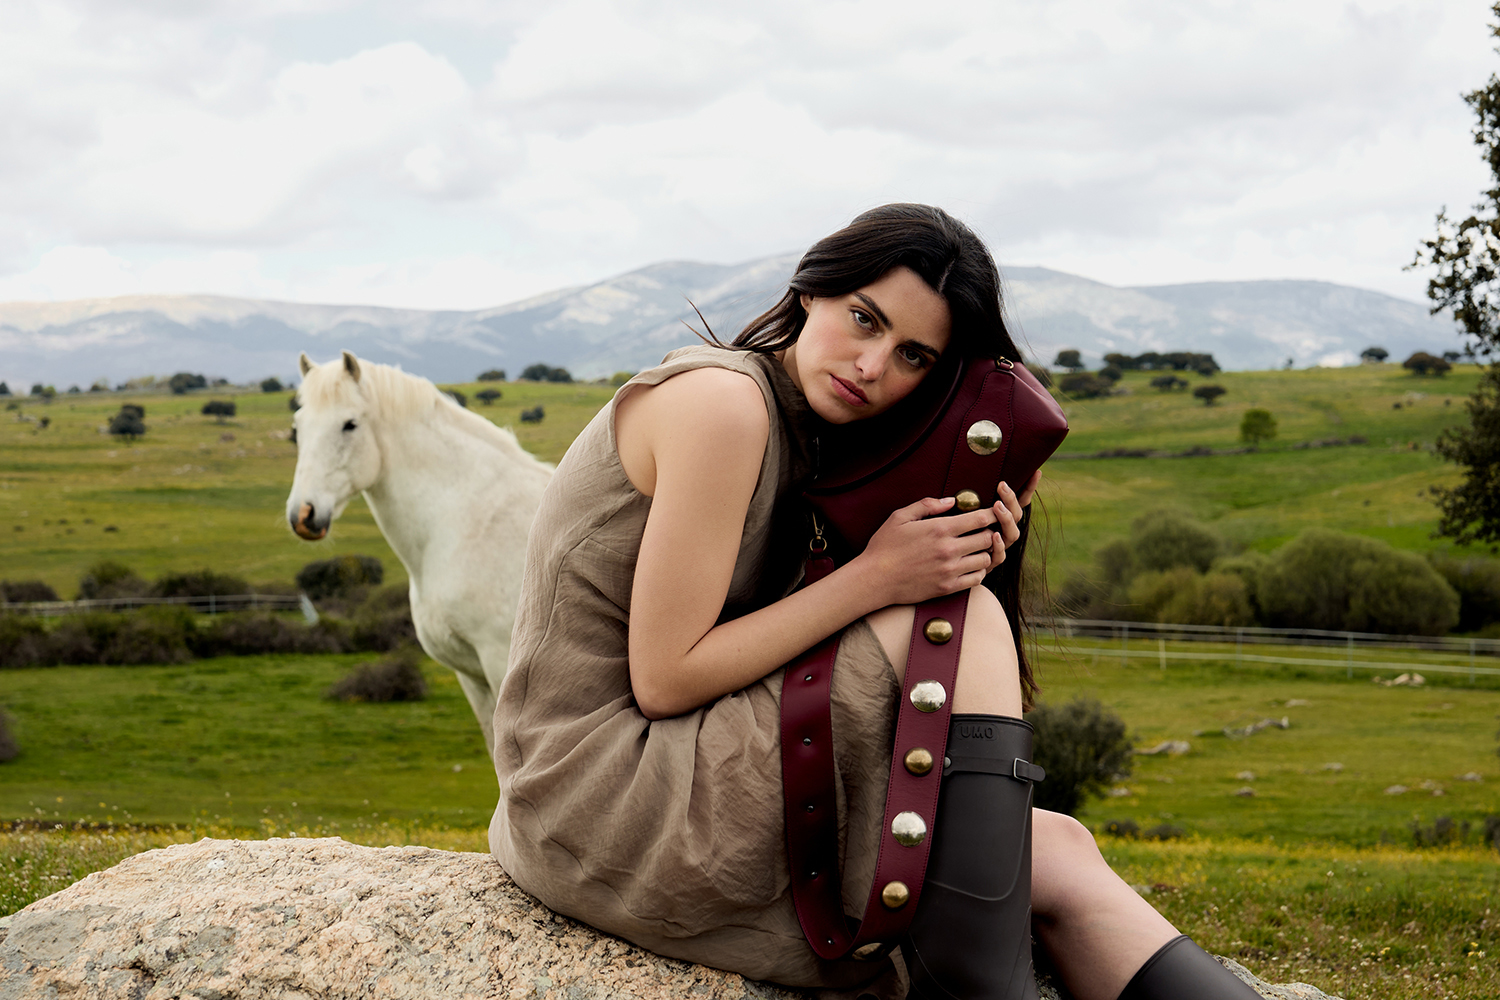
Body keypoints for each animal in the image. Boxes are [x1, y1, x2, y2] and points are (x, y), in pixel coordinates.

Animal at [286, 350, 553, 755]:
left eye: (350, 425)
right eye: (297, 427)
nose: (303, 514)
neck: (465, 519)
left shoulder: (498, 663)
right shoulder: (472, 676)